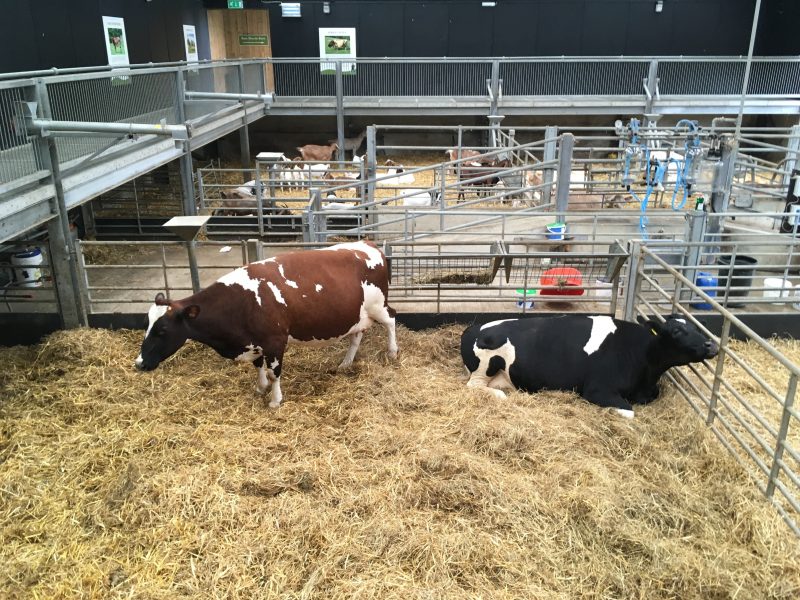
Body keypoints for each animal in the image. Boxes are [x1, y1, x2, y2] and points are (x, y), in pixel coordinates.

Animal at [139, 240, 400, 408]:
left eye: (162, 330)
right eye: (147, 324)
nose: (139, 363)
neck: (242, 302)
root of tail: (369, 244)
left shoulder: (275, 341)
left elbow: (275, 373)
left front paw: (275, 401)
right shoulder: (254, 342)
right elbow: (258, 366)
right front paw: (260, 387)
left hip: (378, 305)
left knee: (392, 319)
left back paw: (392, 351)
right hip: (356, 314)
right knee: (357, 335)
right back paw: (346, 363)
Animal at [460, 314, 720, 418]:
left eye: (696, 327)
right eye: (677, 331)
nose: (712, 344)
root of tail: (473, 328)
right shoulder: (597, 389)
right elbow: (628, 412)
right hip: (485, 366)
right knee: (474, 386)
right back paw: (499, 395)